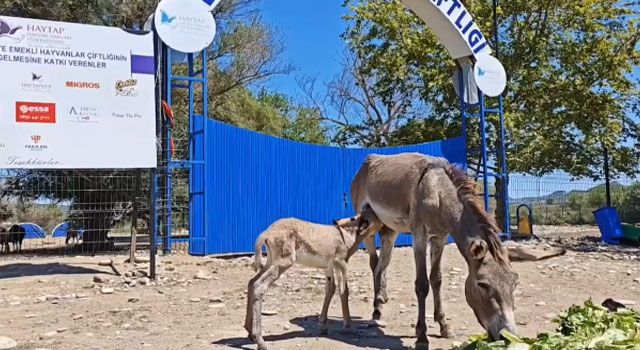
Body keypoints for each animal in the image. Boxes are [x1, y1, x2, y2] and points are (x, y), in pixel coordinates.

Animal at [245, 205, 380, 350]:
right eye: (374, 215)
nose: (384, 224)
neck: (347, 235)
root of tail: (267, 233)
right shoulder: (340, 264)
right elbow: (344, 291)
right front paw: (348, 326)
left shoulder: (328, 267)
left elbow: (331, 289)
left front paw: (323, 326)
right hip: (283, 262)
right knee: (259, 286)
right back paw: (260, 340)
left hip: (271, 261)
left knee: (251, 282)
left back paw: (249, 332)